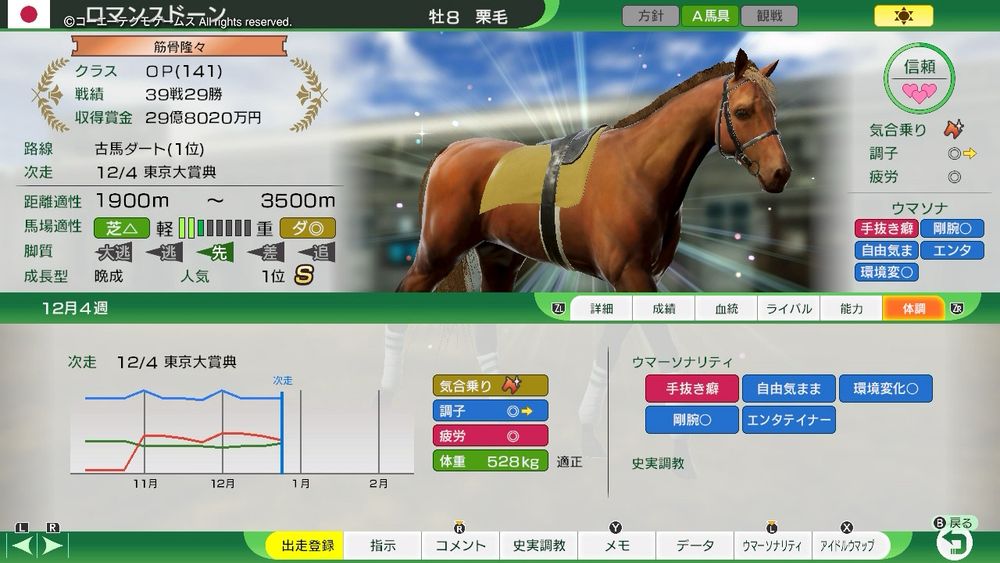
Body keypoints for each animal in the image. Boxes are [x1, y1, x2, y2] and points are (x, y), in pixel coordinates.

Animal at [397, 49, 791, 293]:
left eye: (773, 110)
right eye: (742, 111)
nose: (780, 172)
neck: (639, 167)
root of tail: (451, 150)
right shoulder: (630, 274)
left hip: (499, 258)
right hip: (435, 256)